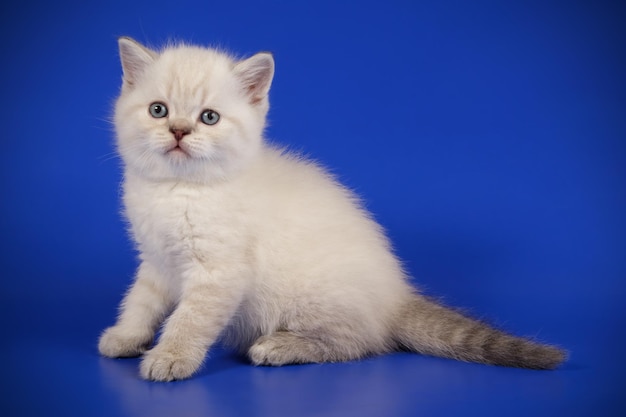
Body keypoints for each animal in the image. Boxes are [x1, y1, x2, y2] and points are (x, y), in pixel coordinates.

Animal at [97, 36, 564, 380]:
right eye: (159, 110)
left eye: (209, 118)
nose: (178, 131)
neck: (178, 189)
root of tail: (396, 297)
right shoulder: (156, 260)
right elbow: (140, 301)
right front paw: (125, 337)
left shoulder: (218, 273)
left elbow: (189, 319)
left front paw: (170, 357)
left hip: (311, 298)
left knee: (359, 343)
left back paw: (278, 347)